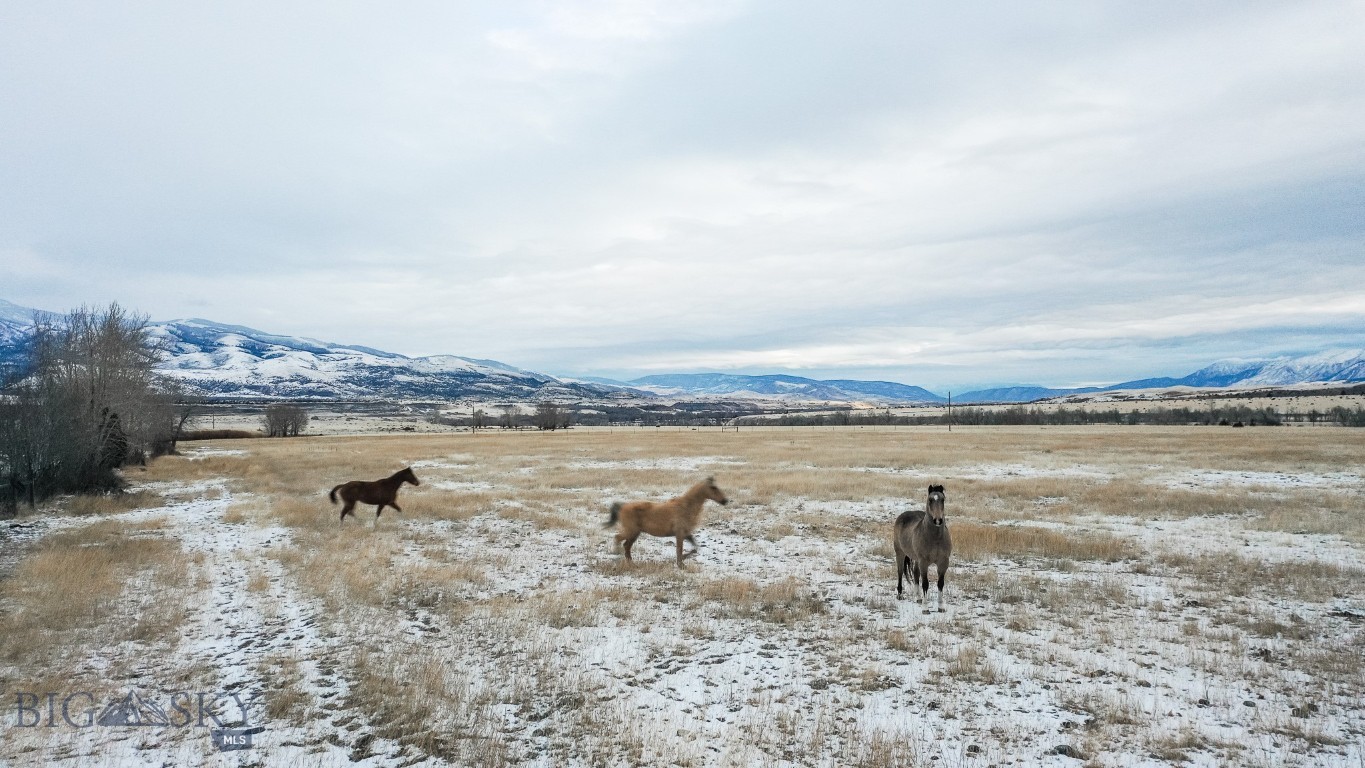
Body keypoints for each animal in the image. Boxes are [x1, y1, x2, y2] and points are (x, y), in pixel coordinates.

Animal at [889, 485, 955, 613]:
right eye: (930, 500)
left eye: (943, 500)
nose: (938, 520)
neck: (935, 538)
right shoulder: (924, 562)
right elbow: (925, 583)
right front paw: (925, 608)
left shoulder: (943, 562)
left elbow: (940, 583)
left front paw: (941, 606)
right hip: (900, 553)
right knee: (900, 572)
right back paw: (900, 595)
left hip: (916, 559)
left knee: (915, 573)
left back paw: (918, 598)